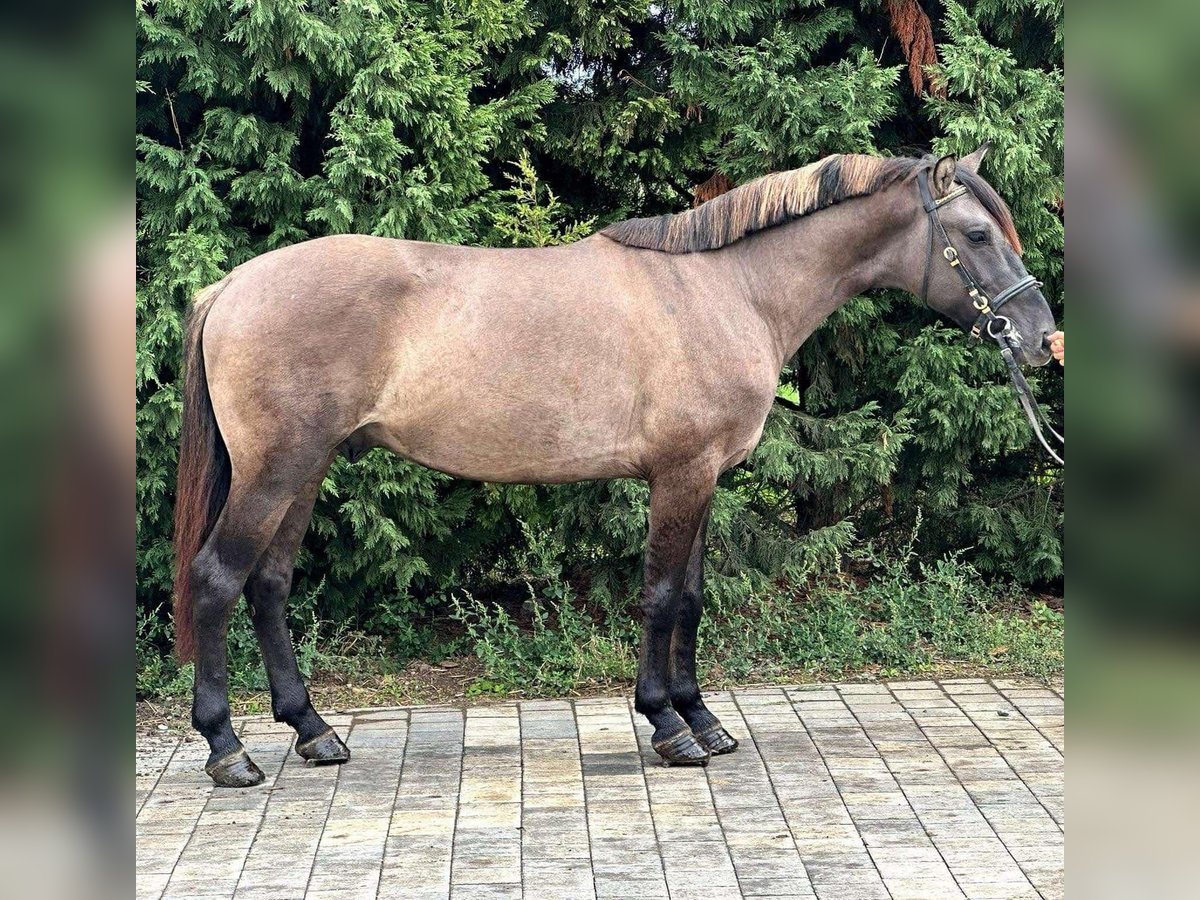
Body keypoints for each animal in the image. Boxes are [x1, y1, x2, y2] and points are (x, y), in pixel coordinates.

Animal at [174, 144, 1056, 787]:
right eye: (977, 235)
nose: (1042, 338)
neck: (728, 288)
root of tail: (229, 286)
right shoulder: (681, 475)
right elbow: (662, 595)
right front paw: (667, 727)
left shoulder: (704, 478)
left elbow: (691, 598)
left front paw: (703, 720)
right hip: (277, 471)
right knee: (218, 579)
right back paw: (228, 750)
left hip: (305, 471)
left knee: (269, 585)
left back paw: (313, 732)